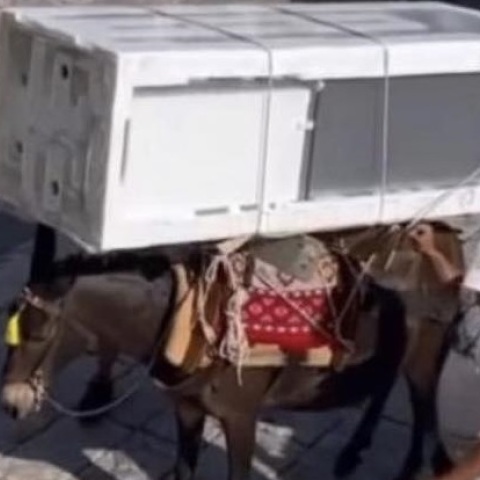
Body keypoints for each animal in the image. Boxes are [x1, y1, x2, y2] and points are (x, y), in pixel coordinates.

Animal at [0, 224, 462, 480]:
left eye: (39, 334)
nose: (11, 404)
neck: (186, 314)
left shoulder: (240, 416)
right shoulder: (187, 408)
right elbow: (183, 469)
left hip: (427, 352)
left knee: (423, 404)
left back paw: (418, 465)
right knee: (384, 384)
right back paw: (354, 452)